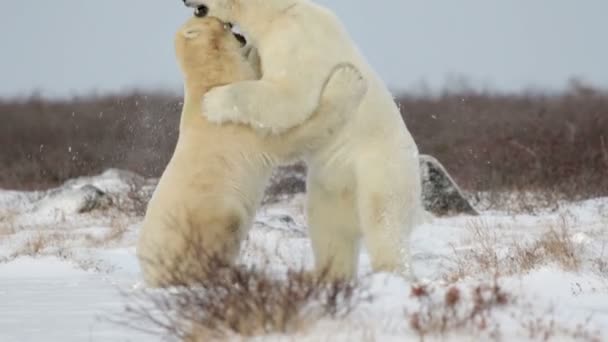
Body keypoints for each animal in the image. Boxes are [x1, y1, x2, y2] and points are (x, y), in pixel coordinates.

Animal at [138, 14, 366, 288]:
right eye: (210, 19)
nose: (233, 25)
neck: (211, 82)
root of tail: (152, 273)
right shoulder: (240, 126)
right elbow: (292, 135)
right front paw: (347, 79)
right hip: (207, 216)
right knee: (226, 226)